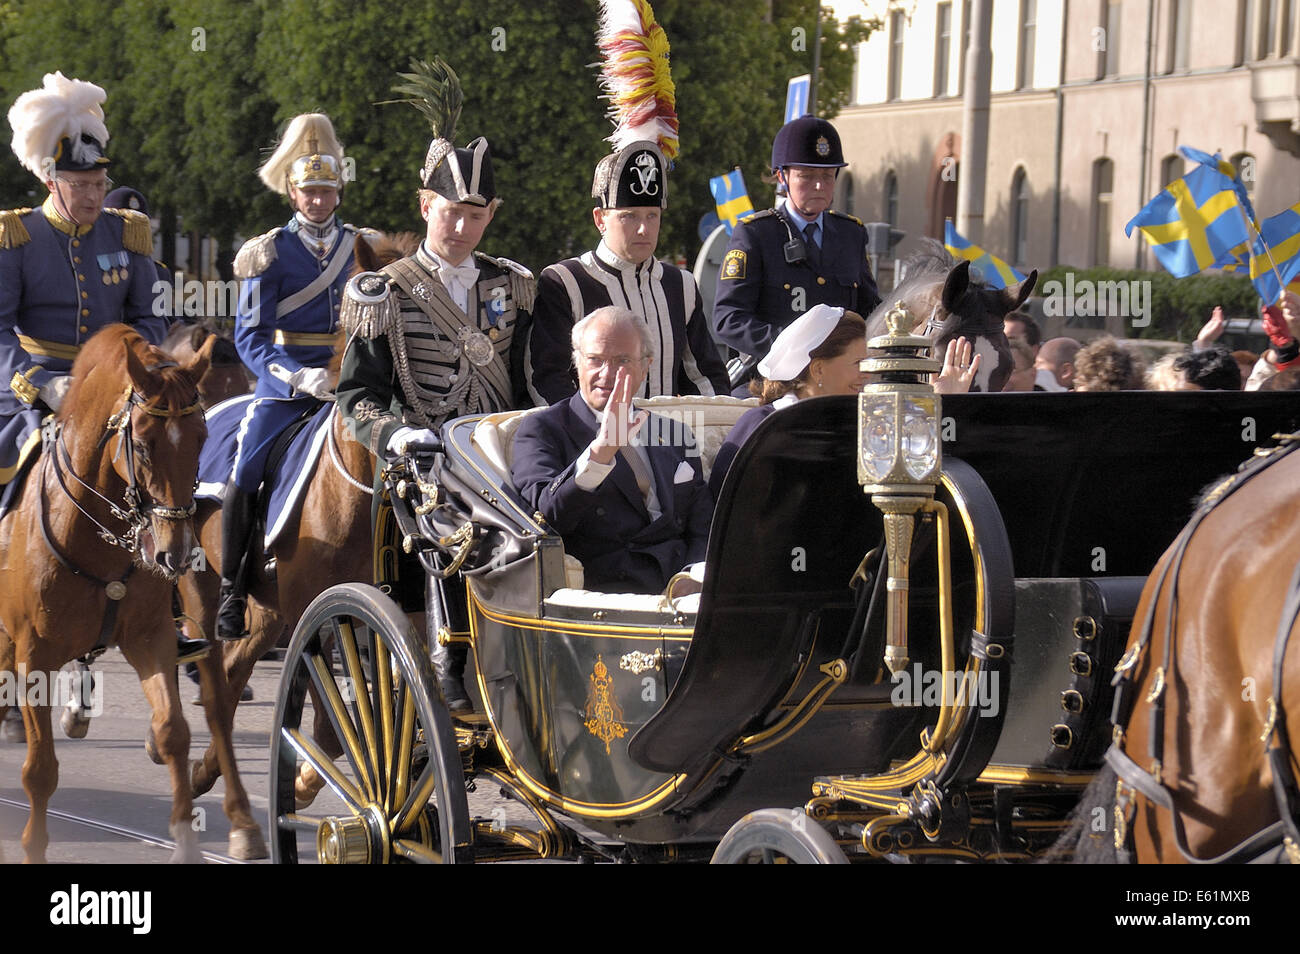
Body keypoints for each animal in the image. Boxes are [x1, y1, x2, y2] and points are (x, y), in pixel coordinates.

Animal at [0, 324, 257, 863]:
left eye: (201, 437)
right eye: (141, 443)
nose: (175, 553)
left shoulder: (150, 638)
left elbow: (174, 731)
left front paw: (185, 842)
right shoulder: (33, 655)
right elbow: (40, 770)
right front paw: (34, 847)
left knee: (216, 707)